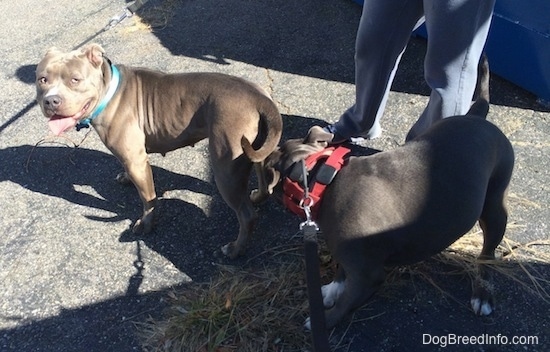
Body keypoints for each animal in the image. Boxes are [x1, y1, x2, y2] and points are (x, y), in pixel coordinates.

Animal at [35, 43, 284, 258]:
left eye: (75, 79)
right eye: (42, 79)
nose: (51, 101)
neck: (109, 91)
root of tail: (259, 97)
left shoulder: (137, 162)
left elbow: (147, 198)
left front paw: (146, 225)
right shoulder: (130, 158)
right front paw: (125, 178)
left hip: (226, 167)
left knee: (246, 215)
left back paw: (235, 249)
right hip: (257, 147)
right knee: (262, 173)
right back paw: (259, 196)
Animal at [258, 98, 516, 328]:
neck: (321, 178)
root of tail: (477, 115)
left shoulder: (368, 276)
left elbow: (345, 304)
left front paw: (323, 321)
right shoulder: (351, 253)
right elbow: (341, 272)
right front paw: (332, 289)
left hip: (495, 208)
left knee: (488, 253)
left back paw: (482, 294)